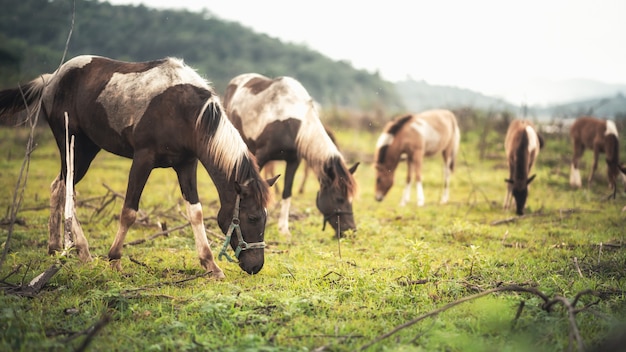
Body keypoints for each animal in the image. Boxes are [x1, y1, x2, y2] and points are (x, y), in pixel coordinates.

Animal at [0, 55, 276, 276]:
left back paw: (55, 247)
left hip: (87, 149)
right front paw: (114, 259)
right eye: (252, 217)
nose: (256, 266)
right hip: (72, 145)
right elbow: (129, 211)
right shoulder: (143, 159)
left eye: (265, 217)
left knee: (58, 187)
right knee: (67, 190)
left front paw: (211, 265)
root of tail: (51, 79)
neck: (184, 112)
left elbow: (195, 213)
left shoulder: (186, 165)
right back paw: (84, 252)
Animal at [222, 73, 358, 238]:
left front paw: (283, 229)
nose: (351, 231)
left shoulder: (293, 161)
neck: (292, 124)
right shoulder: (261, 157)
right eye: (339, 199)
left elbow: (287, 193)